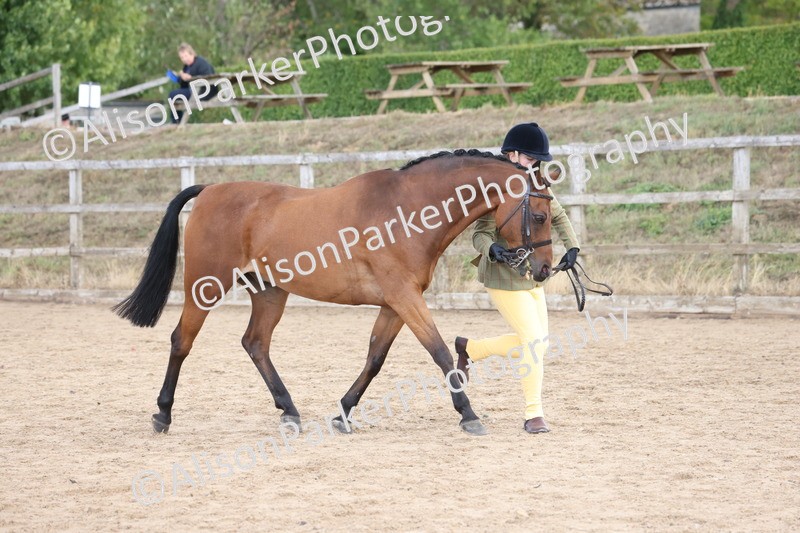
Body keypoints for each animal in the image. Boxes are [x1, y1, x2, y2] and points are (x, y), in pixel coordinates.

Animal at [113, 149, 558, 436]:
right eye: (539, 215)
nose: (543, 269)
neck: (407, 210)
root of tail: (209, 190)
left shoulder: (395, 304)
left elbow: (375, 358)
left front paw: (343, 413)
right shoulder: (405, 298)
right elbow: (440, 353)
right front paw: (468, 414)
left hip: (269, 292)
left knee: (255, 343)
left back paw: (289, 411)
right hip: (205, 286)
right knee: (181, 341)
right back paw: (163, 415)